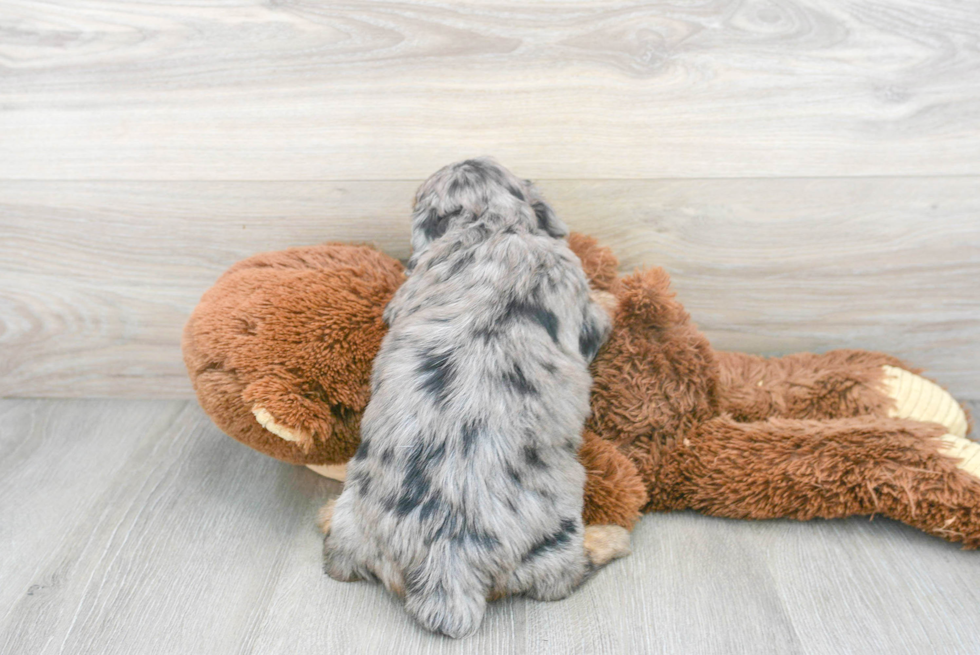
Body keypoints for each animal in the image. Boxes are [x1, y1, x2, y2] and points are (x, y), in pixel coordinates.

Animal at [322, 156, 628, 640]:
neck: (491, 226)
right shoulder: (577, 304)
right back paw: (613, 537)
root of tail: (447, 565)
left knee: (338, 560)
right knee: (569, 573)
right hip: (555, 541)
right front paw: (613, 295)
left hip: (352, 522)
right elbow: (599, 311)